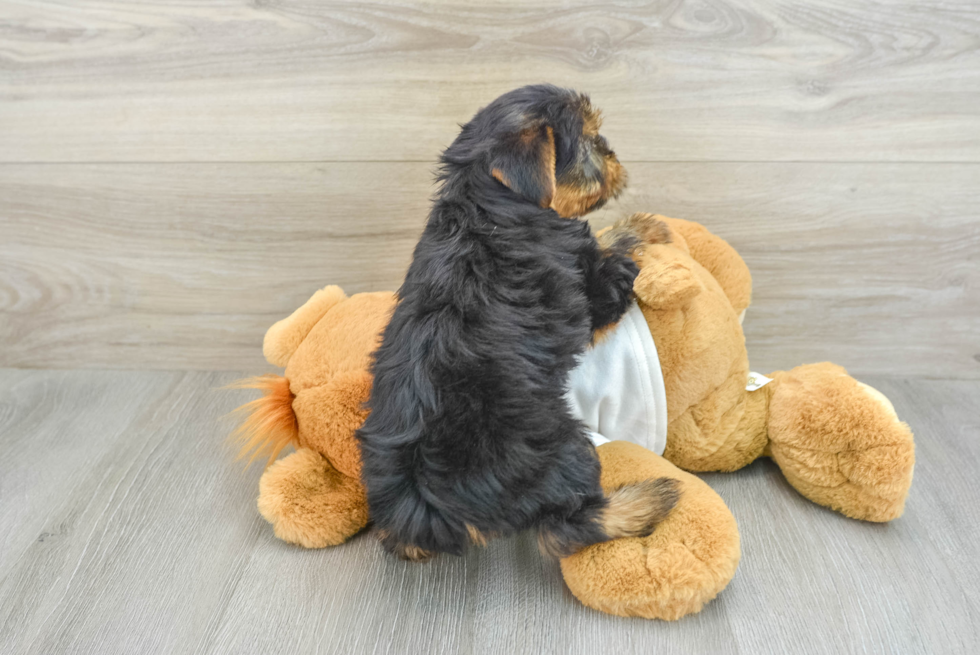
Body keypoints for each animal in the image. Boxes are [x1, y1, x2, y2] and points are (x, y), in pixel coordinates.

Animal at [356, 84, 676, 560]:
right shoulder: (591, 293)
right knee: (564, 528)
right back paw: (646, 501)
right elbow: (610, 257)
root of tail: (429, 507)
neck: (489, 208)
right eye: (588, 140)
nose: (613, 155)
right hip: (555, 446)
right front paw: (644, 226)